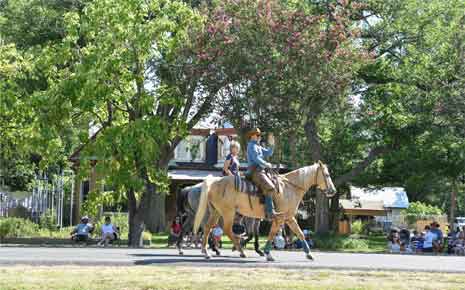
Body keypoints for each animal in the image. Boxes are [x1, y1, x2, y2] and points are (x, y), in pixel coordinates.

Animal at [194, 162, 336, 262]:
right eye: (327, 175)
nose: (333, 190)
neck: (289, 188)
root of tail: (214, 182)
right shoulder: (280, 218)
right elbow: (272, 234)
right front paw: (268, 254)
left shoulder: (289, 218)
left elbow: (300, 233)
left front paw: (309, 254)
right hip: (228, 213)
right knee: (227, 230)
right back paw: (241, 251)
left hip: (216, 212)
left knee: (207, 228)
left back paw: (206, 252)